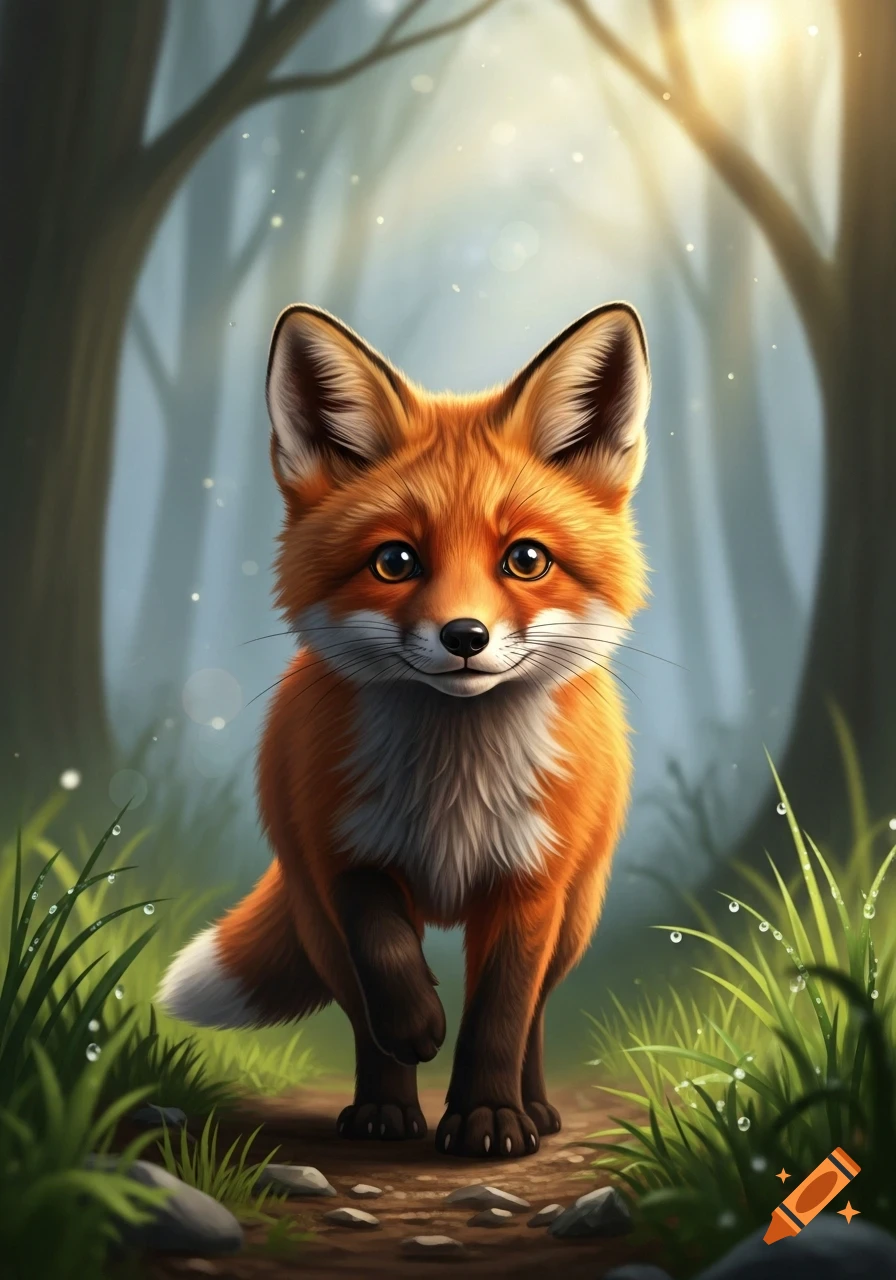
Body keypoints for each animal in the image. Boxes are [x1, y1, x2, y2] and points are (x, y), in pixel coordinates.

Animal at [158, 300, 650, 1158]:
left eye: (526, 559)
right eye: (395, 562)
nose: (465, 637)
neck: (454, 789)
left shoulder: (530, 885)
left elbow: (500, 1018)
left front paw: (488, 1119)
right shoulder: (342, 851)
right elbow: (382, 952)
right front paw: (419, 1025)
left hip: (576, 917)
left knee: (537, 1016)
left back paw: (533, 1107)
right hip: (315, 923)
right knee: (360, 1014)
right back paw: (384, 1111)